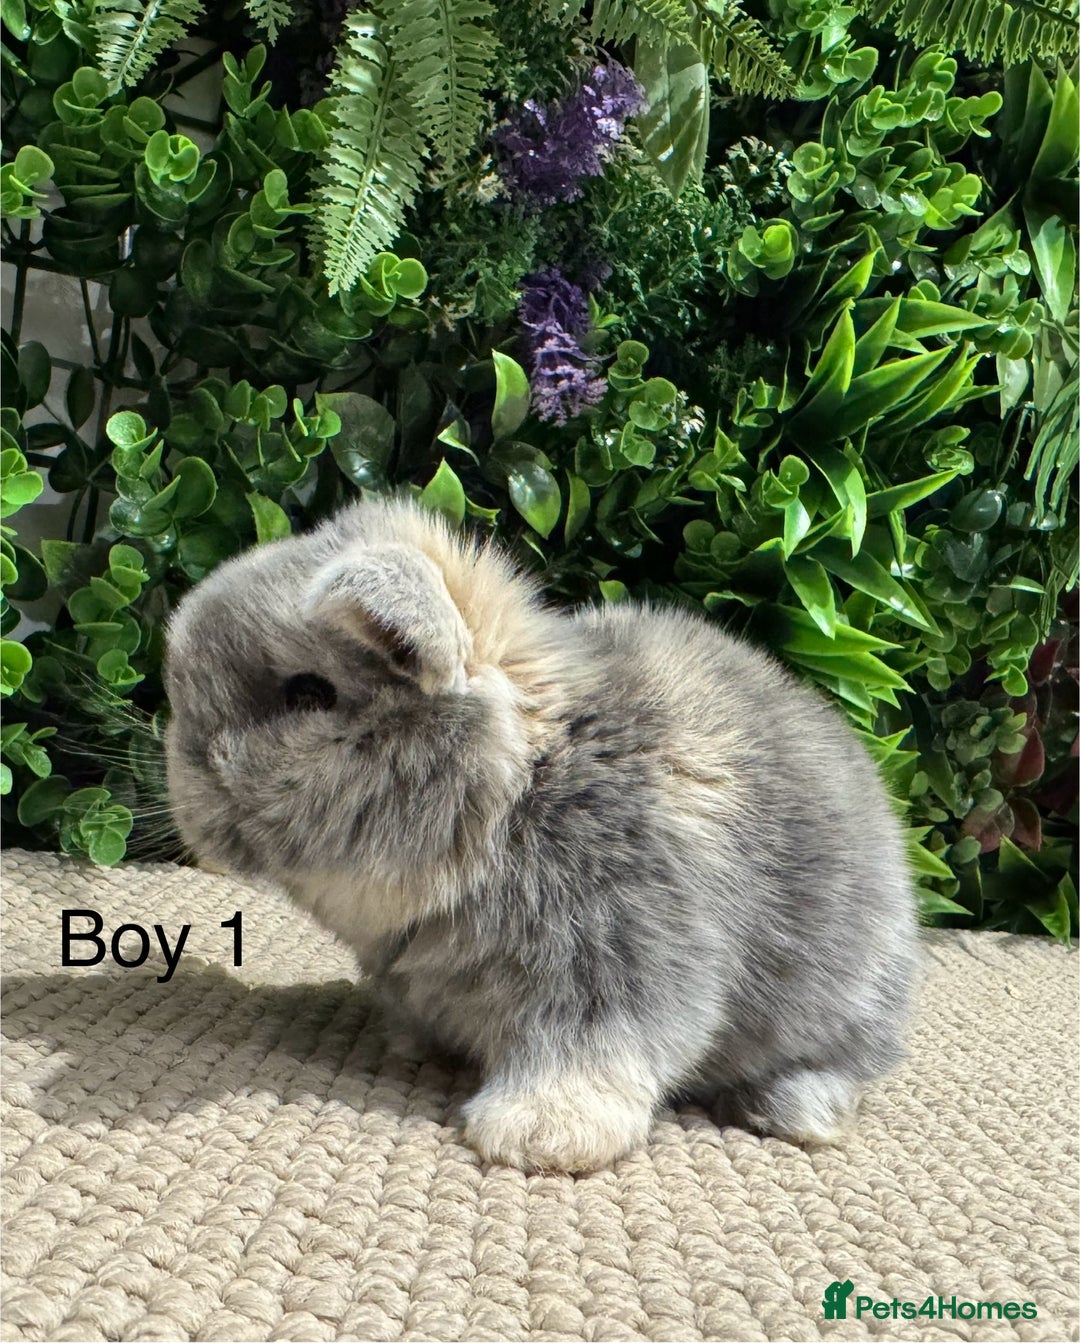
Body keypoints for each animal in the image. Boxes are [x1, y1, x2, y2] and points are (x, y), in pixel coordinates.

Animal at [164, 495, 918, 1173]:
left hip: (844, 1007)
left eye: (309, 693)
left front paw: (539, 1138)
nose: (185, 778)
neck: (518, 796)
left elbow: (592, 1049)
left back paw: (789, 1111)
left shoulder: (615, 954)